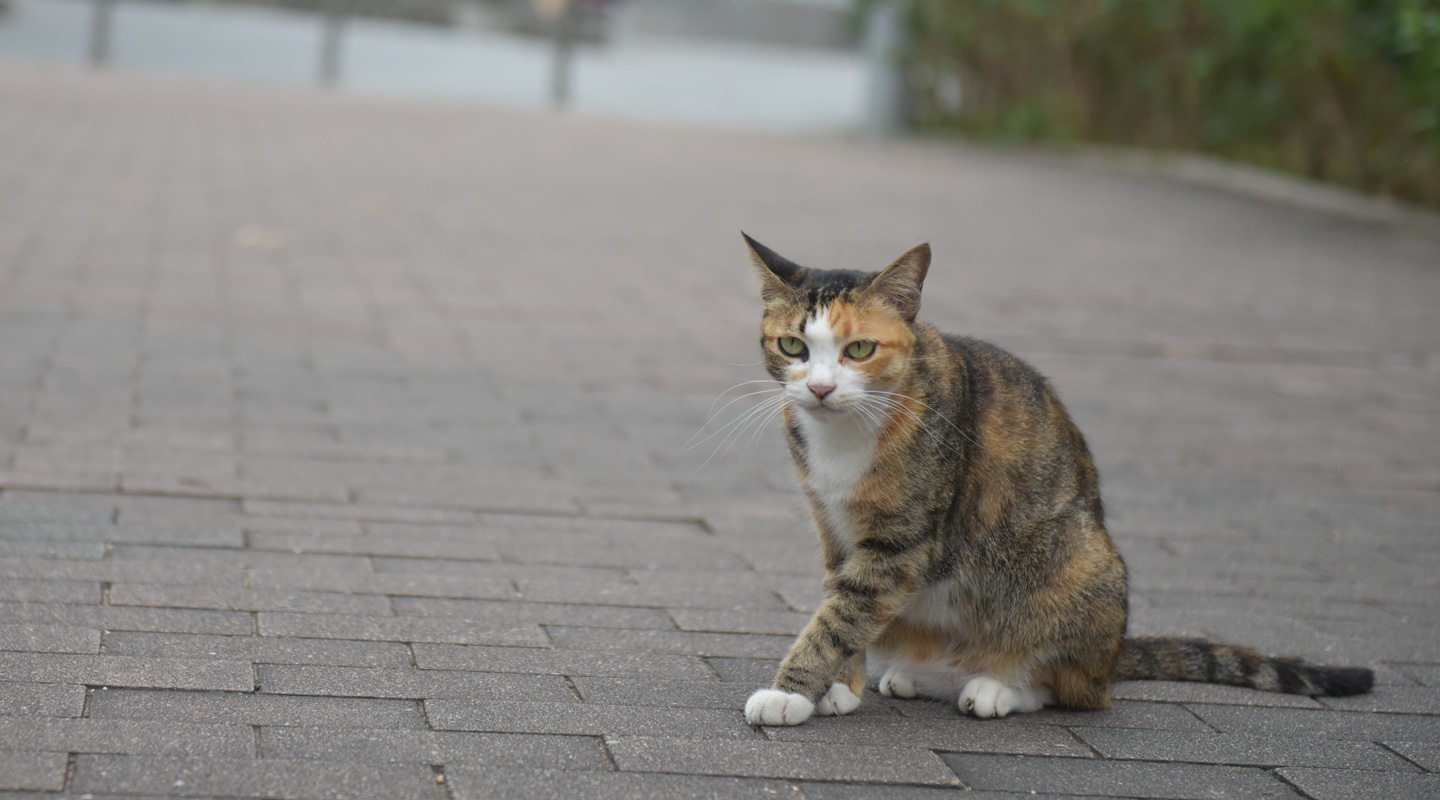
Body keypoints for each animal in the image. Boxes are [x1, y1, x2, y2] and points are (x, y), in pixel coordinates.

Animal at [737, 231, 1376, 725]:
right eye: (792, 345)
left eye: (860, 349)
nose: (820, 388)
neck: (845, 436)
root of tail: (1113, 658)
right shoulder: (835, 528)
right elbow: (840, 604)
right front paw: (840, 688)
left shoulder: (899, 544)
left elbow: (841, 616)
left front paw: (789, 693)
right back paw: (914, 676)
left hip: (1077, 564)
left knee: (1073, 692)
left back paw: (996, 688)